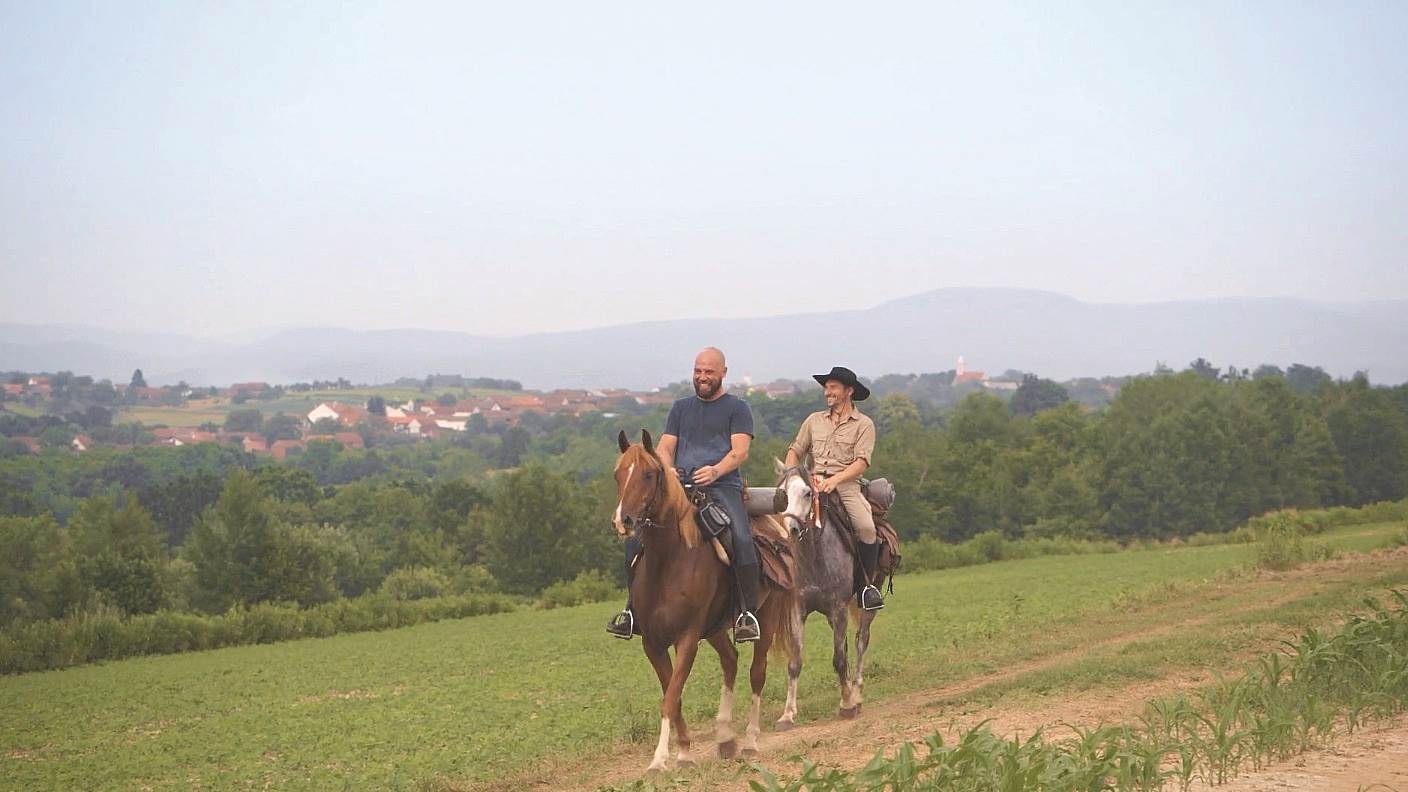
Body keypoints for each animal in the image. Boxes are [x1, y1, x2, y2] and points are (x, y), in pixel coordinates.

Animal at [611, 428, 799, 766]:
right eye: (618, 474)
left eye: (648, 474)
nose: (624, 520)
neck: (668, 562)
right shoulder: (653, 644)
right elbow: (673, 696)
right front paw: (683, 751)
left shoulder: (687, 639)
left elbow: (671, 696)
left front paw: (660, 759)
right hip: (714, 630)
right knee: (731, 661)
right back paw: (725, 737)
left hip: (763, 620)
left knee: (757, 673)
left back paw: (750, 741)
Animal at [765, 456, 872, 721]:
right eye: (782, 494)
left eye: (807, 493)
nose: (790, 529)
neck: (814, 557)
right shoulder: (798, 610)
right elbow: (795, 661)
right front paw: (788, 714)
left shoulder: (839, 607)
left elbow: (839, 659)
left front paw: (847, 704)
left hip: (866, 604)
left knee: (861, 641)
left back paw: (856, 692)